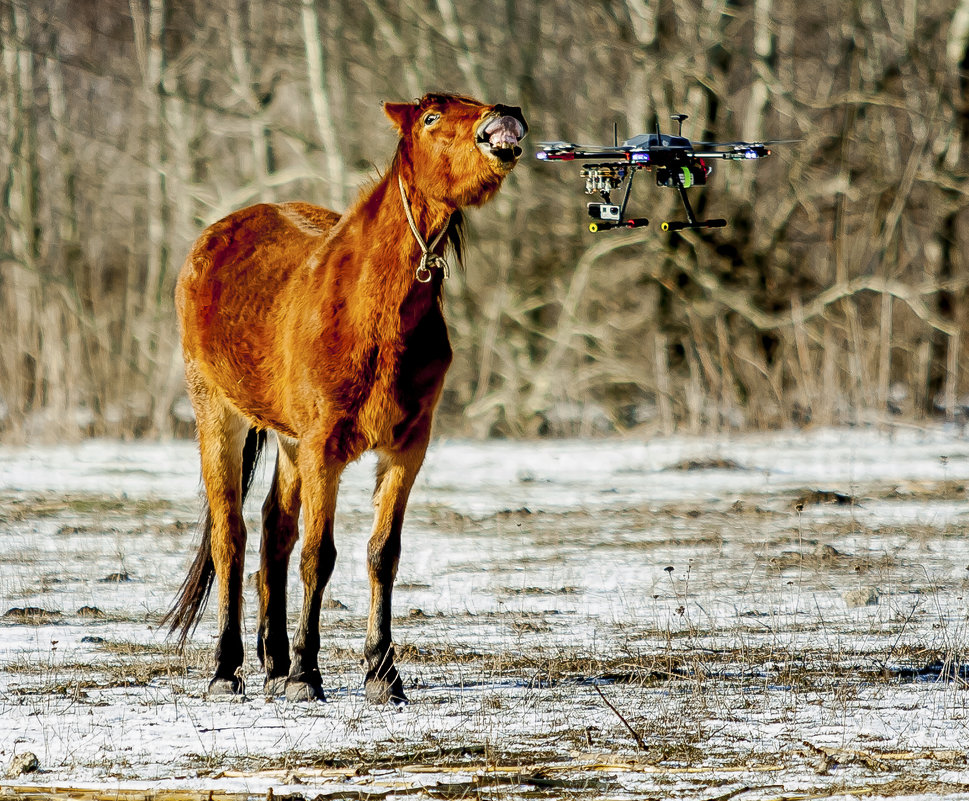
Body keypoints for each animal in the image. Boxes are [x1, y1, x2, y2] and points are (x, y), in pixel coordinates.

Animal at [166, 95, 528, 708]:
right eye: (431, 118)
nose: (503, 116)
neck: (372, 310)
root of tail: (213, 236)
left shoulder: (407, 447)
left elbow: (383, 552)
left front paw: (381, 672)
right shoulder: (324, 449)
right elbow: (319, 554)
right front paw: (308, 675)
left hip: (287, 440)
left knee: (273, 530)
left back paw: (273, 662)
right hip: (218, 415)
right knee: (231, 537)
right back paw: (228, 669)